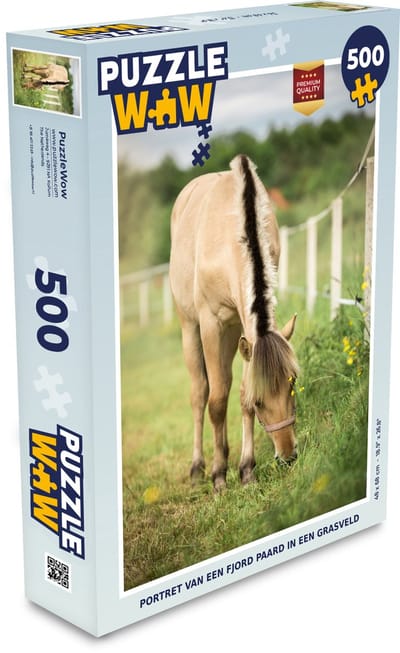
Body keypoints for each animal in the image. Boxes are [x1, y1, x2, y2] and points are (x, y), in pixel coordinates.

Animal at [169, 154, 299, 491]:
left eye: (292, 385)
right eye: (262, 402)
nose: (288, 455)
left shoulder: (243, 328)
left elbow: (238, 396)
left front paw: (246, 470)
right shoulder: (211, 324)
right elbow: (216, 402)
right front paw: (219, 476)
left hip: (230, 336)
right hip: (191, 328)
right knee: (201, 393)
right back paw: (198, 468)